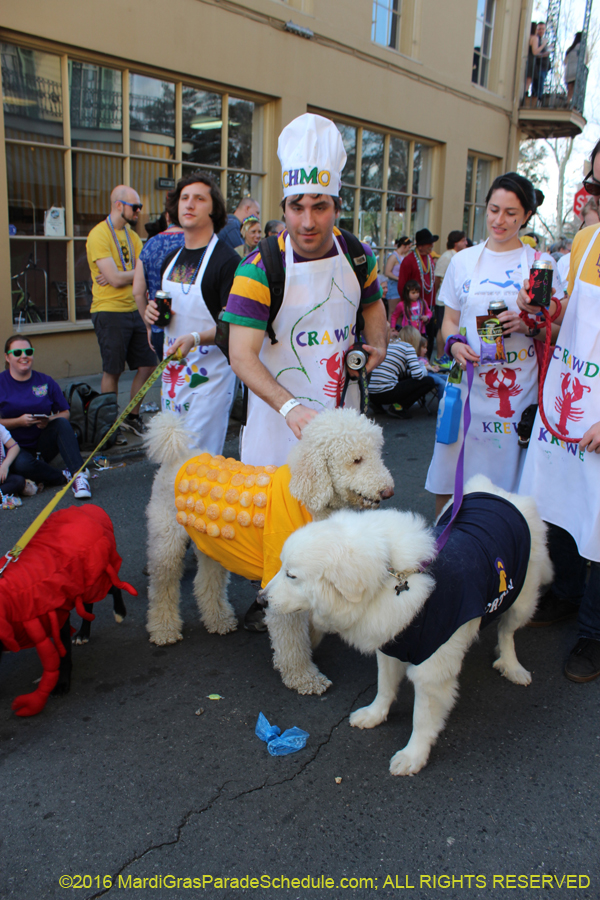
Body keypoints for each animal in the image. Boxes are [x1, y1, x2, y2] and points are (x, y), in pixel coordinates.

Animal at [144, 408, 394, 696]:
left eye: (377, 453)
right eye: (356, 460)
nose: (388, 491)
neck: (306, 498)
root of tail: (181, 453)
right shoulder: (282, 574)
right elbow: (291, 636)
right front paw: (304, 677)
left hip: (210, 542)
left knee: (208, 581)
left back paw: (218, 620)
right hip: (167, 540)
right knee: (162, 584)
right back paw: (163, 629)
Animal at [260, 474, 552, 776]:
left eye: (291, 575)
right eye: (281, 567)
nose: (260, 600)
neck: (390, 577)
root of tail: (500, 492)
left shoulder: (431, 671)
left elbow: (421, 719)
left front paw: (413, 756)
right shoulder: (392, 645)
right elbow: (385, 687)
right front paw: (375, 715)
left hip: (520, 602)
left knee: (507, 633)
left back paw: (512, 667)